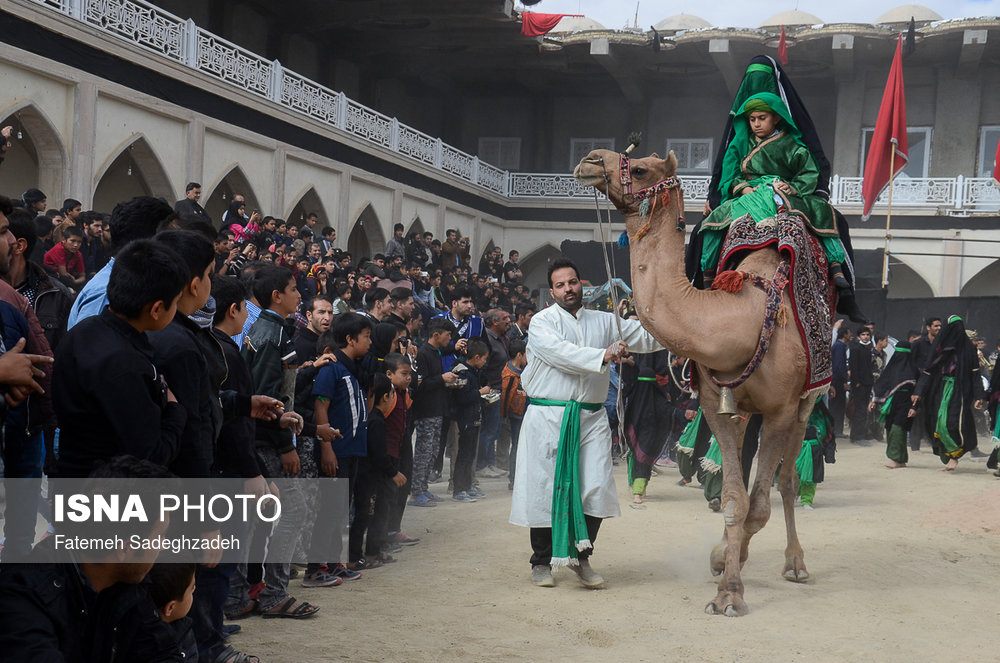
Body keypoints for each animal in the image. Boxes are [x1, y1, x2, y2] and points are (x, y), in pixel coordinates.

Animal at [576, 150, 824, 616]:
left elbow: (758, 504)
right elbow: (733, 500)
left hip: (807, 400)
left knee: (786, 481)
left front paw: (731, 586)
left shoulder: (780, 410)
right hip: (741, 408)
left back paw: (796, 564)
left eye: (639, 167)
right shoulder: (714, 405)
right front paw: (724, 571)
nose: (591, 159)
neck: (742, 316)